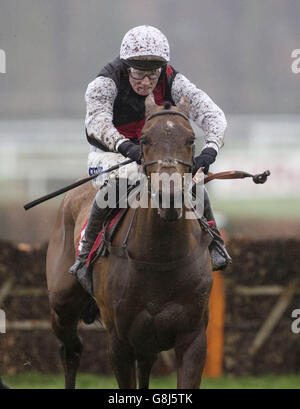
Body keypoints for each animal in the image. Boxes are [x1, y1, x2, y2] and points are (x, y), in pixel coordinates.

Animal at [45, 94, 212, 388]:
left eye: (191, 139)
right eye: (144, 139)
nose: (168, 197)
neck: (159, 256)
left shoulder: (193, 338)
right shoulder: (119, 341)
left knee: (145, 363)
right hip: (62, 302)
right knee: (71, 350)